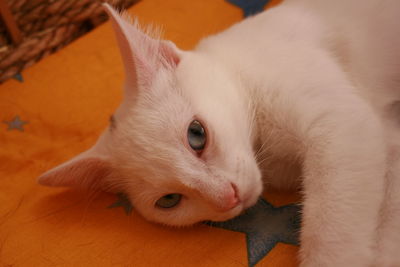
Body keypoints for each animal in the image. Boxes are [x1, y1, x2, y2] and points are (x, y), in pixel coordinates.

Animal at [38, 1, 400, 266]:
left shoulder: (347, 124)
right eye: (168, 200)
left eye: (196, 134)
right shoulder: (387, 135)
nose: (228, 197)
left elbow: (334, 234)